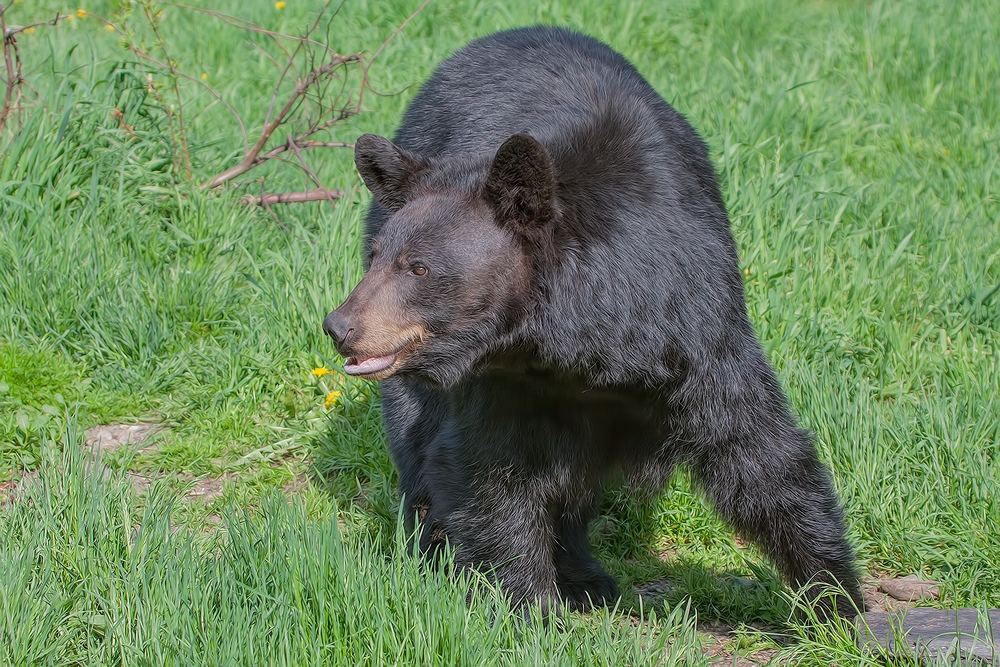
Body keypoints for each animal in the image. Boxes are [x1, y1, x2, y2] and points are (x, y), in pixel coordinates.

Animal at [324, 27, 864, 620]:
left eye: (418, 267)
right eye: (379, 257)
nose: (340, 327)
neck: (591, 340)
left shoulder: (698, 329)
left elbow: (760, 453)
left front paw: (836, 600)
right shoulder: (506, 379)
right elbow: (489, 473)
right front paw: (528, 607)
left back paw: (586, 577)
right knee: (416, 432)